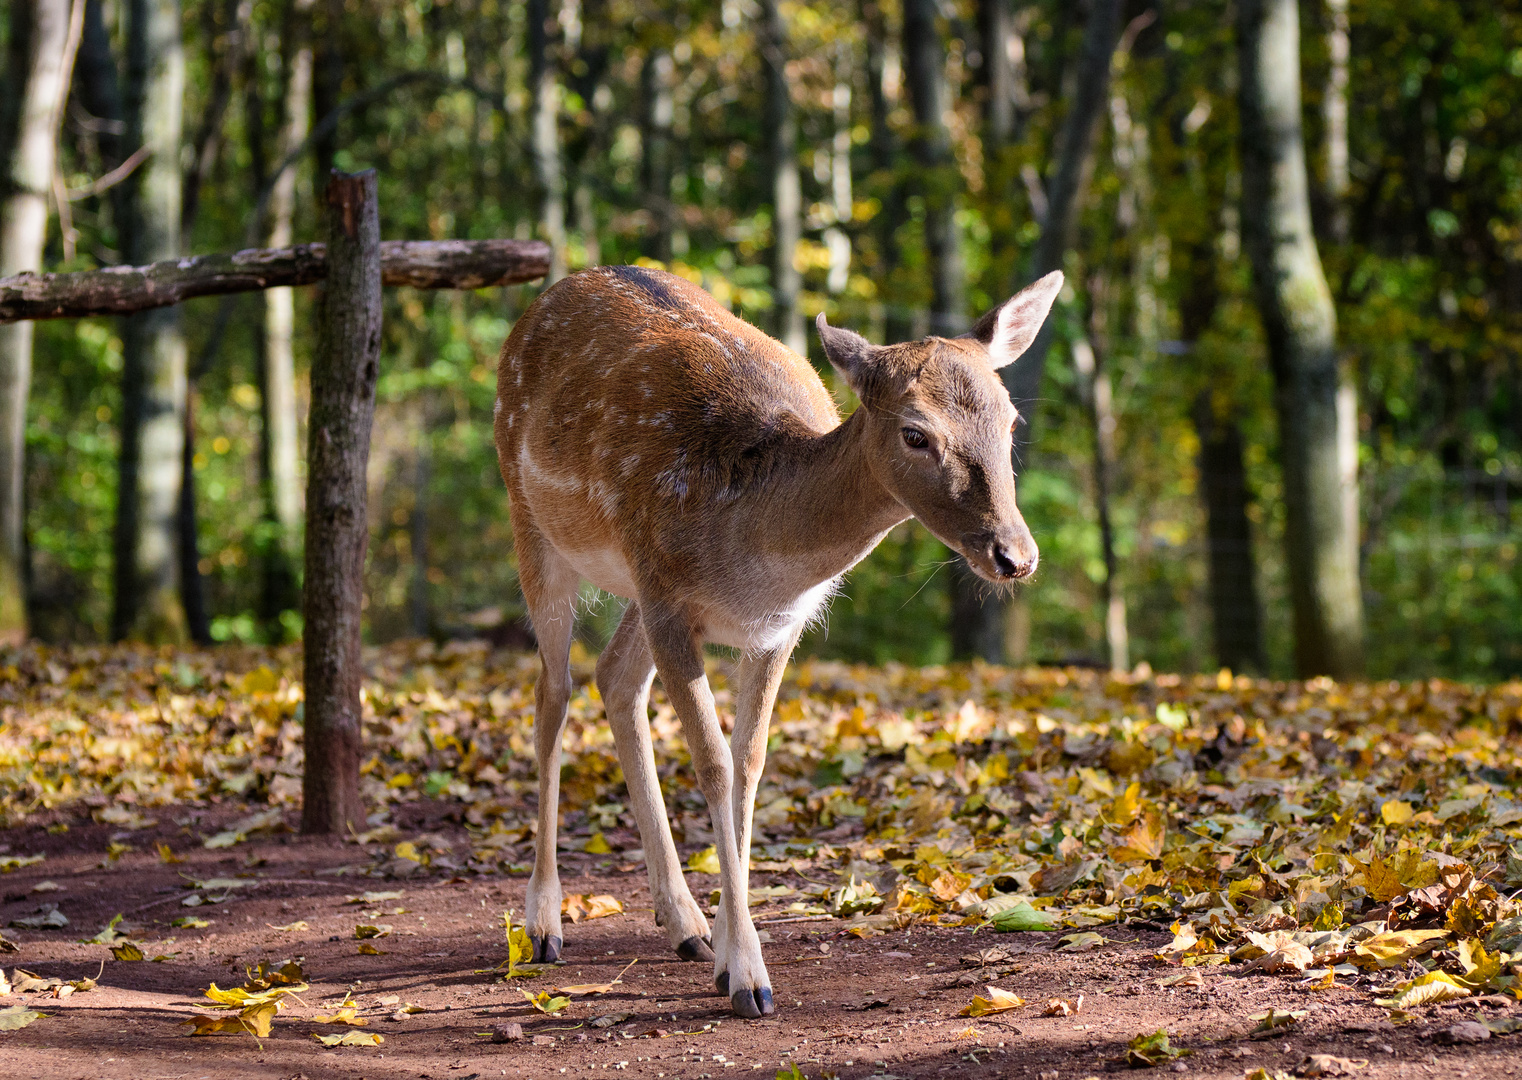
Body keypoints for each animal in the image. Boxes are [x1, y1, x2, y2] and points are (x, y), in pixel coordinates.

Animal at [496, 266, 1059, 1022]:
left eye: (1010, 419)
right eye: (915, 433)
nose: (1015, 555)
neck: (754, 557)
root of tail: (554, 292)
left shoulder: (773, 631)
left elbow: (750, 764)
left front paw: (727, 955)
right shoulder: (669, 603)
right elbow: (712, 766)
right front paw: (750, 979)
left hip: (632, 590)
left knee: (614, 678)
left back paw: (684, 924)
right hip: (532, 518)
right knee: (551, 695)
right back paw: (543, 924)